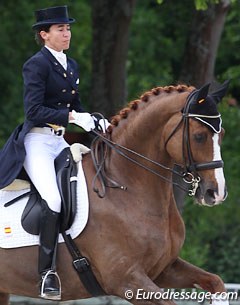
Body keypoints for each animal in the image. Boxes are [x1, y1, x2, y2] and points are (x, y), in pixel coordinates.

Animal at [0, 82, 229, 302]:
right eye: (199, 136)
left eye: (222, 135)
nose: (216, 193)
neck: (125, 186)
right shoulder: (126, 280)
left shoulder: (164, 269)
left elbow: (216, 282)